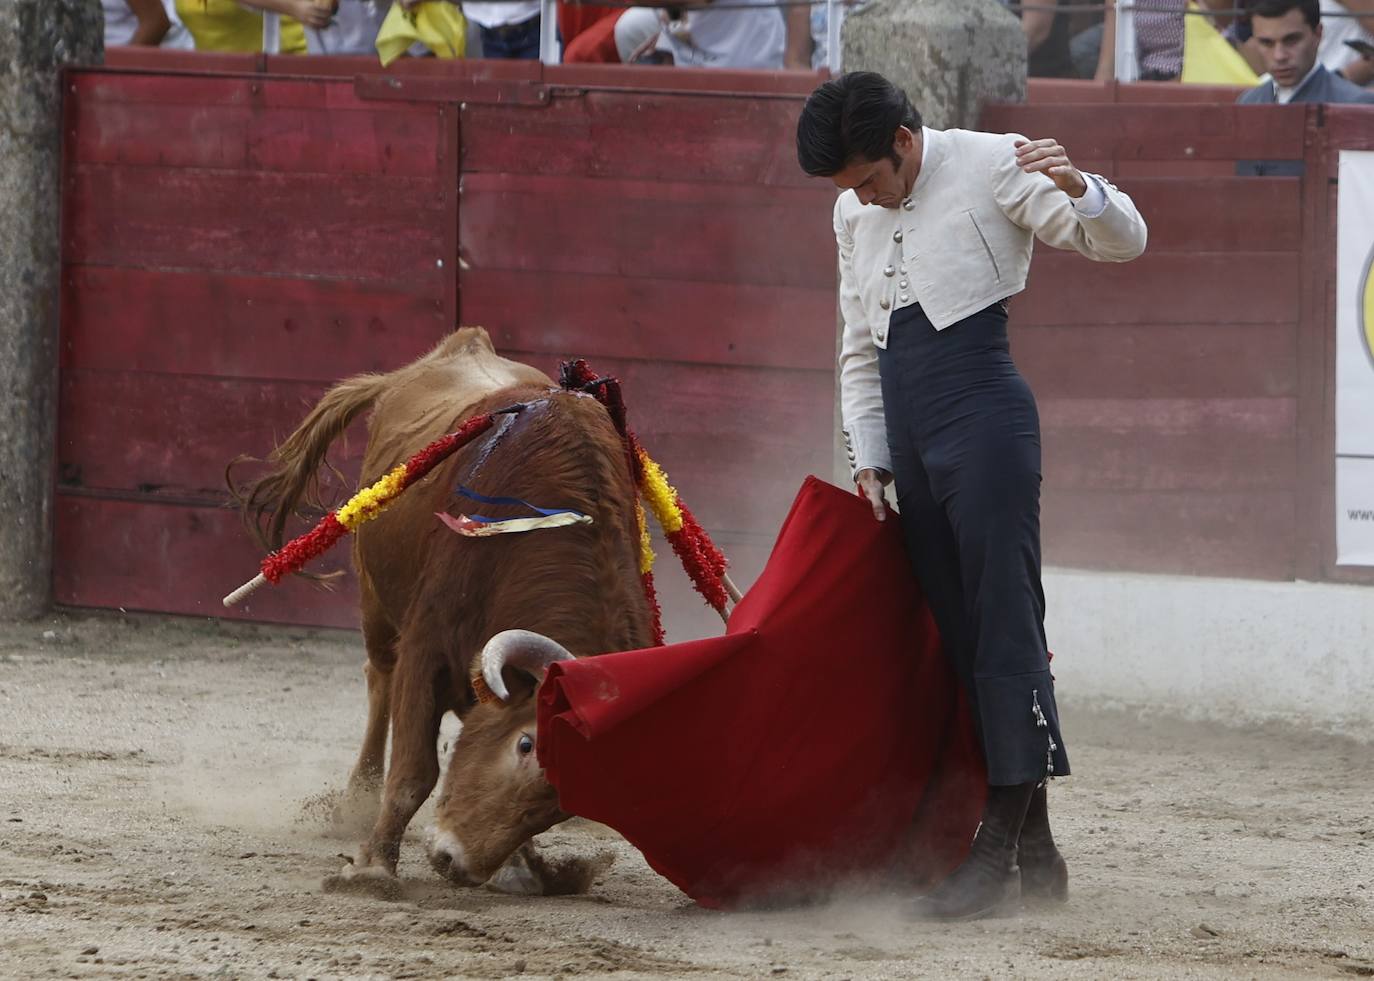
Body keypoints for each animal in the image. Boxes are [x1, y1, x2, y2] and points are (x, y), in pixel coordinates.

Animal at [234, 327, 654, 884]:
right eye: (525, 744)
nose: (455, 862)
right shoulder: (426, 644)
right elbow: (415, 768)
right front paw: (372, 868)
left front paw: (520, 868)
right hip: (375, 599)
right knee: (380, 679)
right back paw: (357, 801)